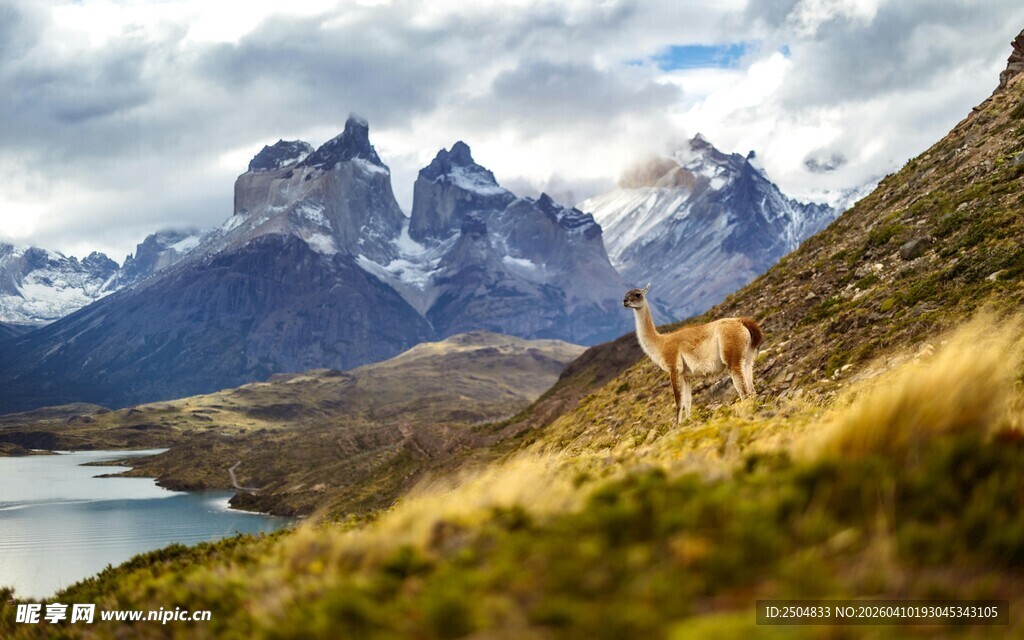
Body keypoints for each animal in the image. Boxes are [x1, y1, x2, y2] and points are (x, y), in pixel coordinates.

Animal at [623, 284, 763, 425]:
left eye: (637, 294)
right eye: (626, 295)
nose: (625, 301)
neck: (661, 343)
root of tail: (742, 321)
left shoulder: (674, 368)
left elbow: (678, 401)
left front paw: (677, 425)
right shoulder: (686, 375)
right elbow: (688, 402)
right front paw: (688, 421)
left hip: (733, 358)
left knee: (744, 392)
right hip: (748, 358)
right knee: (751, 390)